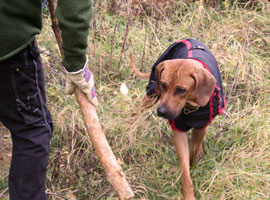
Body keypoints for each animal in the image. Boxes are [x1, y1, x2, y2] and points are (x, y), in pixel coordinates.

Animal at [130, 38, 225, 199]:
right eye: (163, 85)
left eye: (181, 90)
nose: (162, 111)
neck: (190, 105)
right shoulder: (179, 131)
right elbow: (185, 170)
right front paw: (188, 194)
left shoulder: (201, 127)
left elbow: (193, 153)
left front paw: (194, 163)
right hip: (152, 92)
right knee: (136, 111)